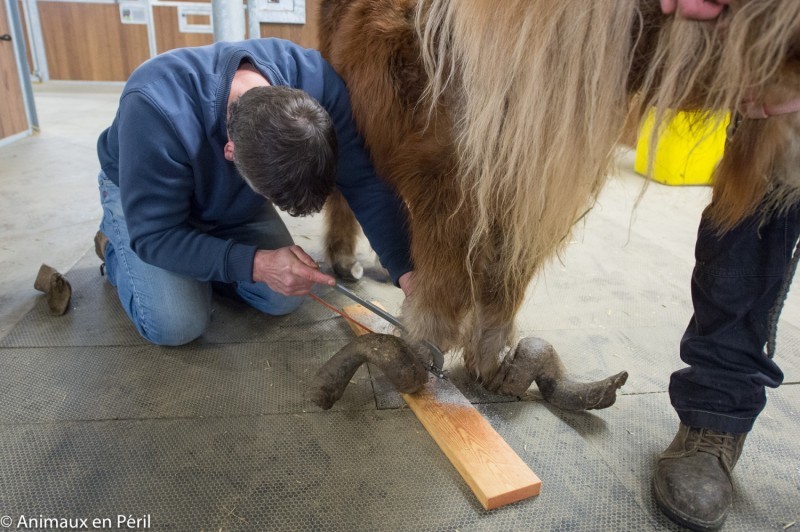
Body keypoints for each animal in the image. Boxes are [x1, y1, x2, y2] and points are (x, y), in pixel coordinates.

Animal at [318, 0, 800, 394]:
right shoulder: (450, 180)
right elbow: (449, 282)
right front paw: (426, 348)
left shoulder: (525, 189)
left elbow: (504, 278)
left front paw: (490, 363)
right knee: (345, 195)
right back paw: (345, 260)